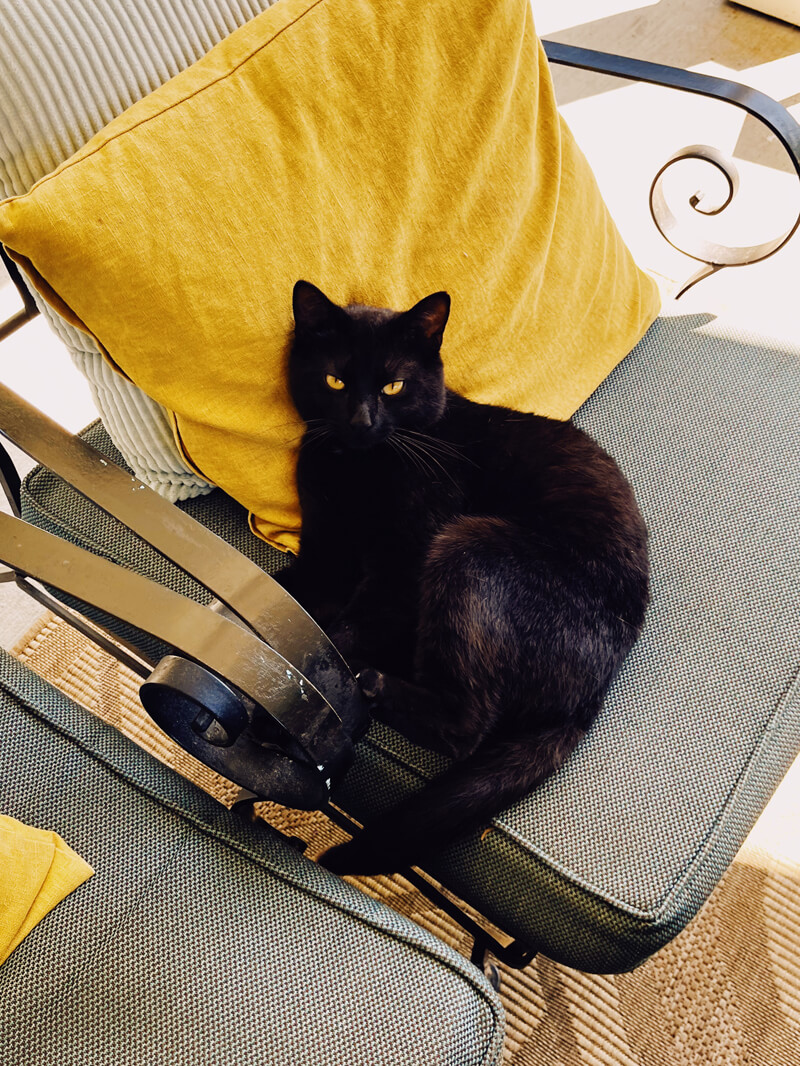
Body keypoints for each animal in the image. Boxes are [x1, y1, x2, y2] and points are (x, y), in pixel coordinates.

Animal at [279, 283, 648, 874]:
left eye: (394, 385)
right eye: (335, 380)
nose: (360, 422)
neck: (356, 468)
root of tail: (592, 694)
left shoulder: (405, 562)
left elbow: (344, 631)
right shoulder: (325, 558)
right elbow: (280, 591)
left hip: (468, 545)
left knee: (468, 727)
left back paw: (371, 682)